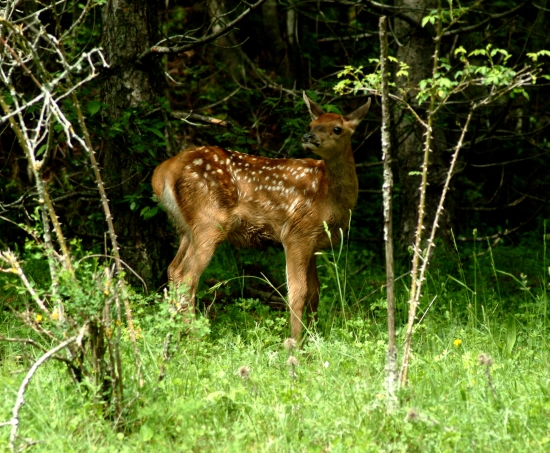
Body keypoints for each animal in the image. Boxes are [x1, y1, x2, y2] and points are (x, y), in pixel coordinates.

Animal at [153, 92, 374, 340]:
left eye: (337, 128)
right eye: (312, 124)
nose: (308, 136)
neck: (329, 196)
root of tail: (163, 172)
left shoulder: (314, 242)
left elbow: (315, 292)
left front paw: (314, 335)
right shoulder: (297, 233)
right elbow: (298, 292)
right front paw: (296, 341)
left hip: (185, 227)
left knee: (173, 268)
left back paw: (173, 330)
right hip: (209, 221)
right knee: (187, 275)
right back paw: (195, 335)